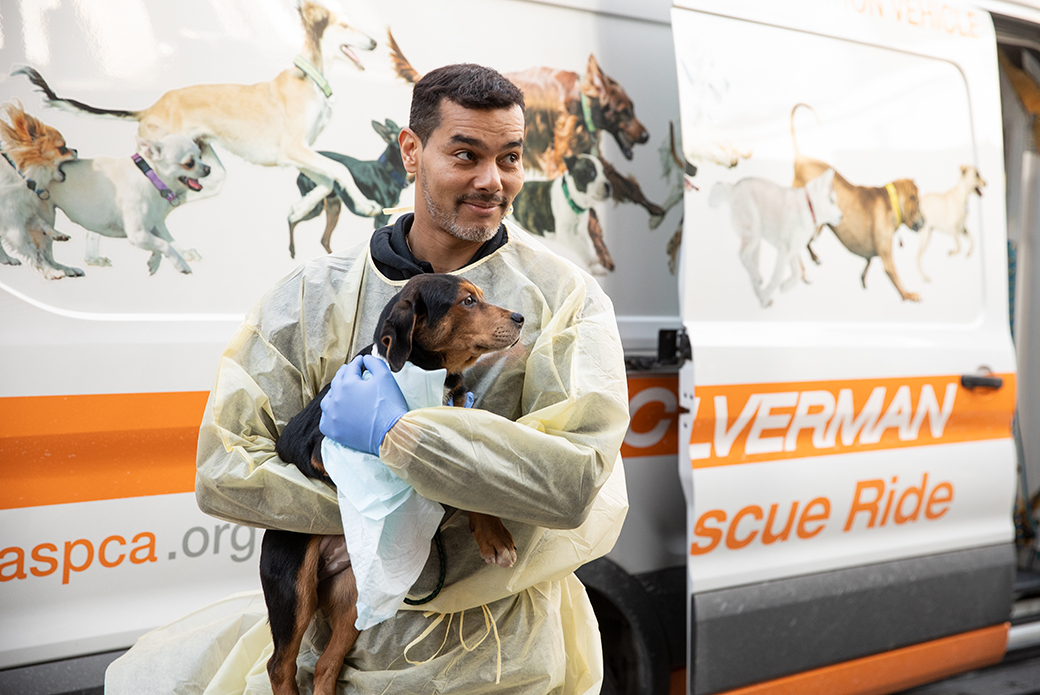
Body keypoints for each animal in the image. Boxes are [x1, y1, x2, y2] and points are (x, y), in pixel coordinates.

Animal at [257, 272, 520, 695]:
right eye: (467, 301)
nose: (520, 318)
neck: (426, 376)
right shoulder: (321, 450)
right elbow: (400, 447)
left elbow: (466, 472)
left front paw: (491, 533)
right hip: (292, 588)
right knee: (279, 665)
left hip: (353, 596)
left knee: (326, 665)